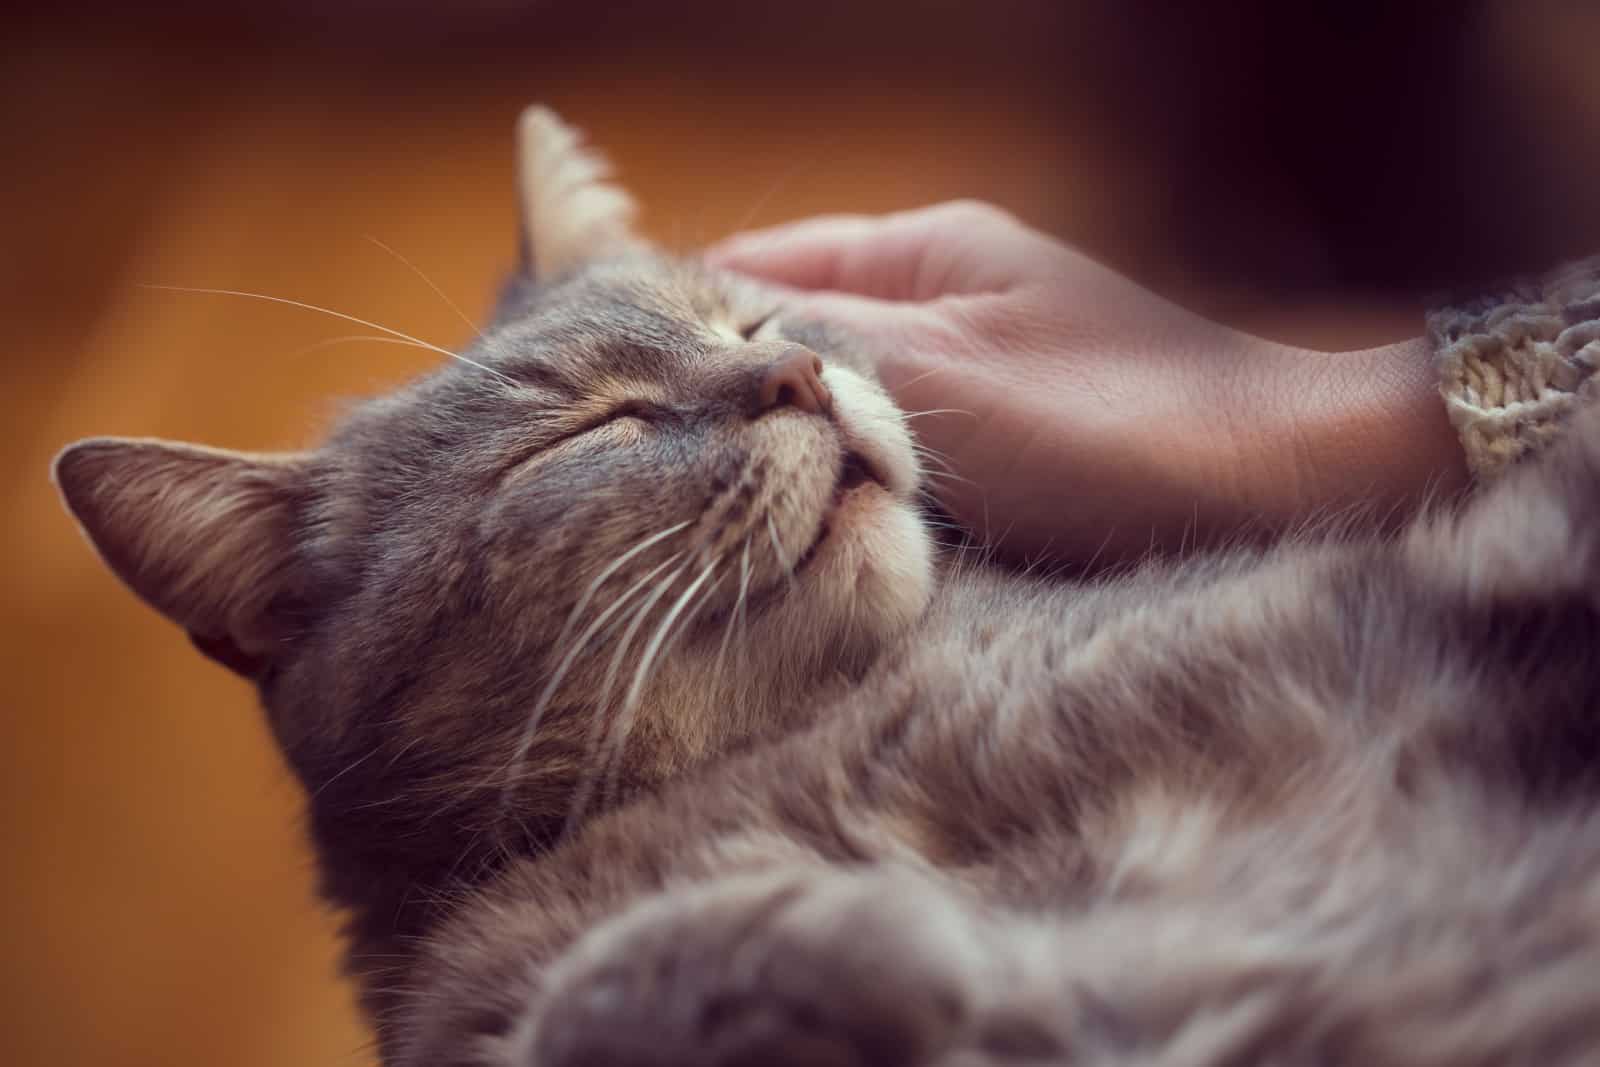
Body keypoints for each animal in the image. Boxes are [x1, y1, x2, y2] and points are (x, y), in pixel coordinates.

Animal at [56, 102, 1600, 1067]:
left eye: (746, 321)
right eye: (592, 426)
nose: (794, 371)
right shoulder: (465, 1016)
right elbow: (585, 993)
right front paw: (836, 928)